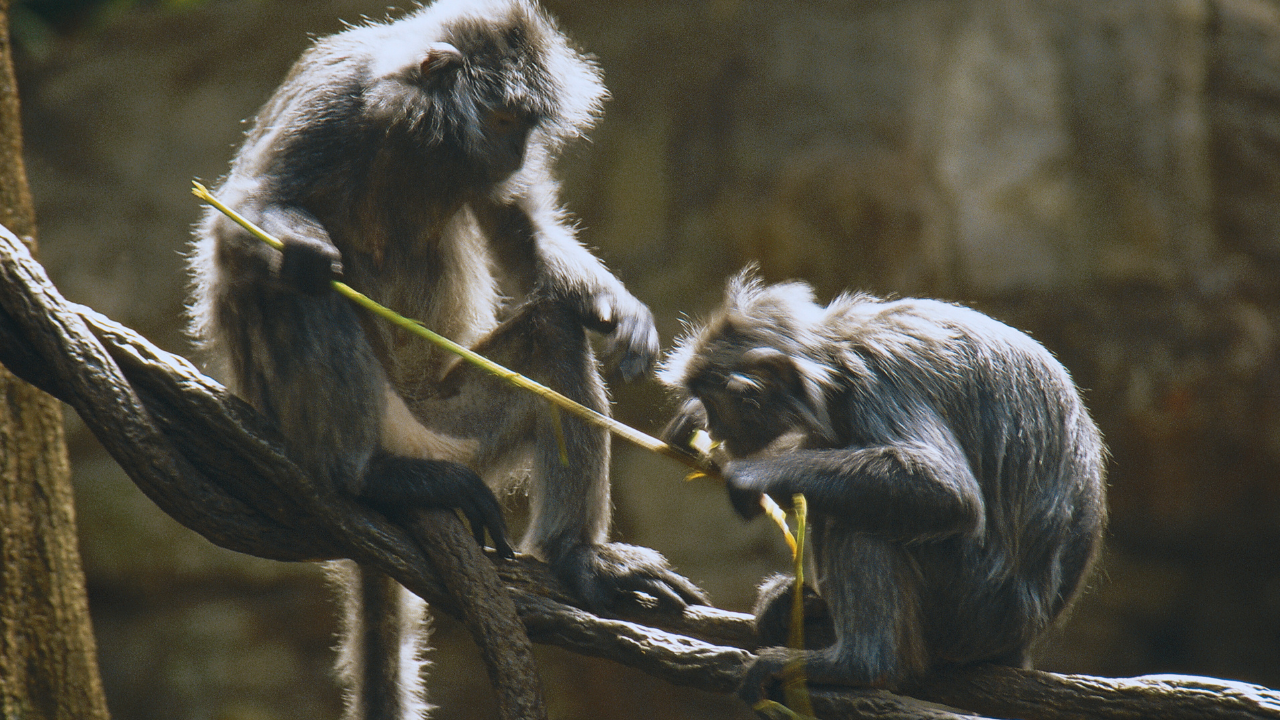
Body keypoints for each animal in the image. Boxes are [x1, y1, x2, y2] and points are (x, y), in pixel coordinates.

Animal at [188, 1, 706, 717]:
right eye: (507, 121)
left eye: (527, 129)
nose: (519, 151)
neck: (412, 139)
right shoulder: (330, 100)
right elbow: (238, 222)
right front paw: (303, 246)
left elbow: (523, 234)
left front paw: (618, 313)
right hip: (330, 415)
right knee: (303, 292)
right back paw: (363, 475)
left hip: (451, 430)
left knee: (552, 334)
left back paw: (578, 557)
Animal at [659, 271, 1106, 704]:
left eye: (717, 406)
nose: (714, 427)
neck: (836, 349)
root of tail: (1020, 640)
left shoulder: (875, 372)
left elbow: (946, 490)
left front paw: (750, 474)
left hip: (976, 607)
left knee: (858, 520)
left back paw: (858, 665)